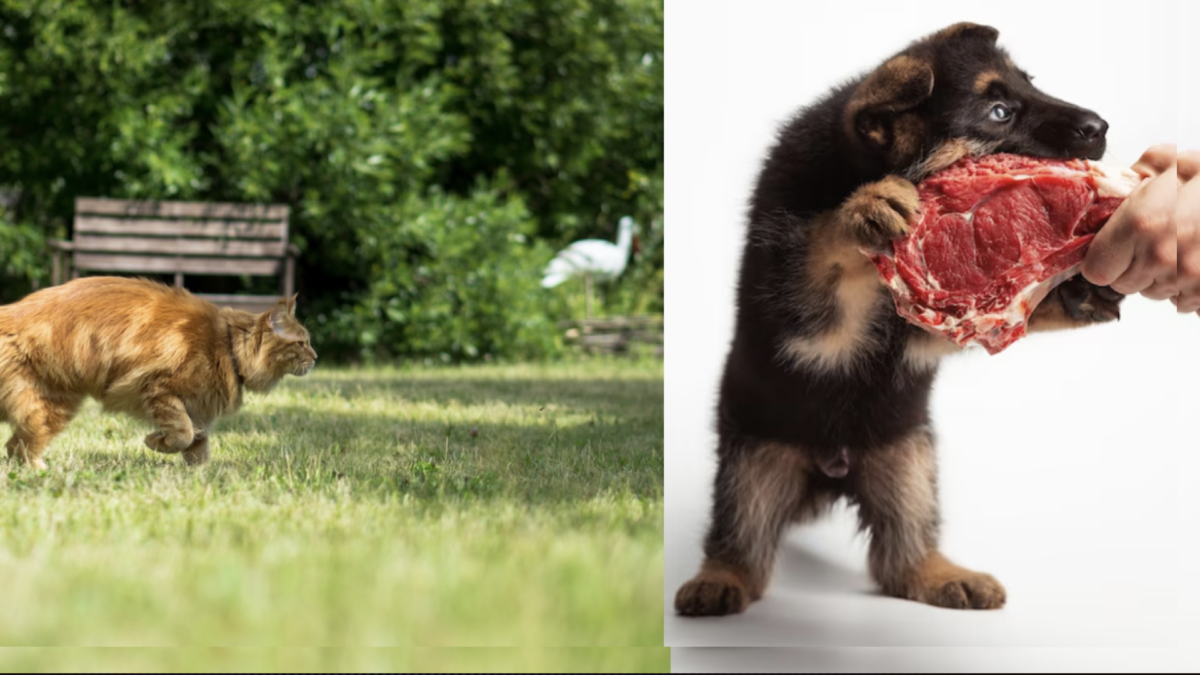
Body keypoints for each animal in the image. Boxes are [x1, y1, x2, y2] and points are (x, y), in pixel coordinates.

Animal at [0, 275, 319, 468]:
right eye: (302, 343)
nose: (316, 357)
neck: (227, 346)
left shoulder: (199, 409)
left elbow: (198, 449)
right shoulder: (161, 389)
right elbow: (182, 434)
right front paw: (155, 442)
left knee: (13, 446)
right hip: (51, 407)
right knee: (19, 448)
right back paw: (41, 470)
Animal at [676, 21, 1123, 612]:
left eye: (1030, 84)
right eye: (999, 111)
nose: (1101, 126)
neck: (850, 168)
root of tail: (833, 472)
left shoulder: (928, 320)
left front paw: (1080, 292)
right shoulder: (809, 314)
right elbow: (822, 246)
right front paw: (863, 209)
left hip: (907, 463)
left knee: (901, 557)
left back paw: (944, 575)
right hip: (754, 465)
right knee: (740, 540)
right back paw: (719, 579)